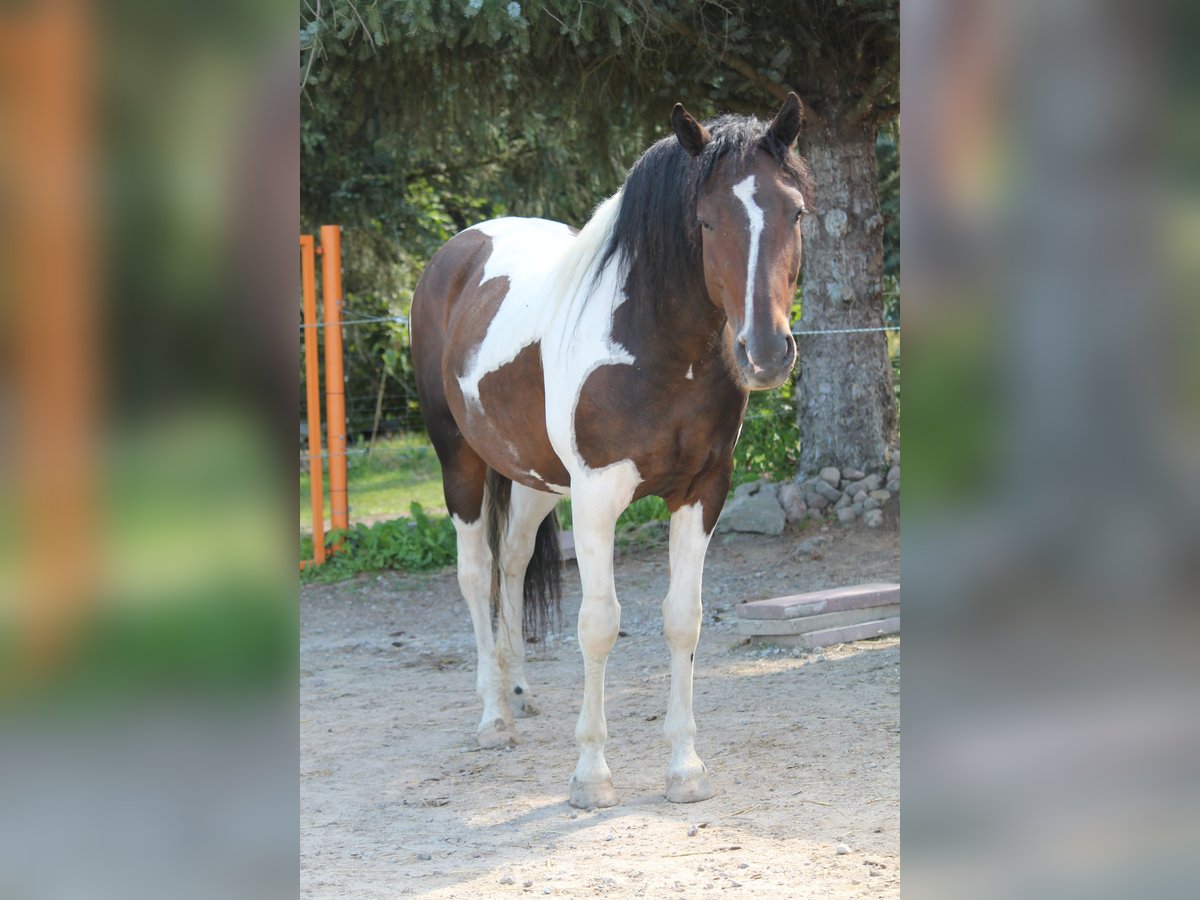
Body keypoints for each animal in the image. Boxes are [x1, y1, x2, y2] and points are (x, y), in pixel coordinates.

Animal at [411, 94, 813, 809]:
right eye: (705, 220)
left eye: (794, 211)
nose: (766, 352)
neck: (658, 349)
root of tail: (456, 254)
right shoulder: (597, 497)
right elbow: (599, 623)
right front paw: (591, 776)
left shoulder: (702, 492)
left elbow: (683, 618)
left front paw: (684, 768)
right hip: (460, 463)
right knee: (475, 574)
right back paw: (493, 716)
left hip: (536, 482)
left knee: (512, 563)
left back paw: (518, 688)